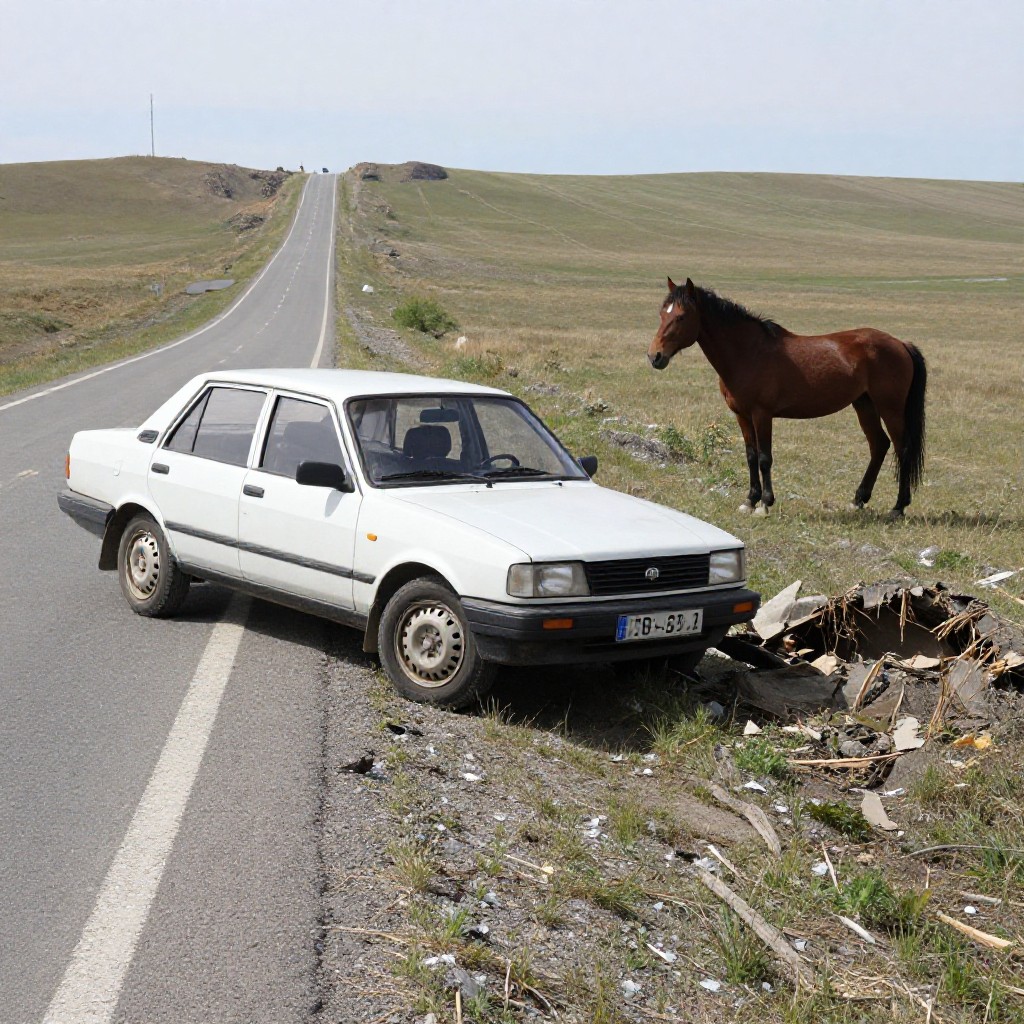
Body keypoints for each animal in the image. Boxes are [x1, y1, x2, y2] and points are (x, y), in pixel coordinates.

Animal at [647, 278, 927, 520]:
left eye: (681, 316)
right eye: (661, 314)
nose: (654, 356)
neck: (748, 353)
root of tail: (901, 344)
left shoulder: (762, 414)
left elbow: (764, 458)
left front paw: (765, 503)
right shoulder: (742, 415)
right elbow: (751, 456)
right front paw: (749, 500)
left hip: (890, 408)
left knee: (902, 448)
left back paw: (898, 507)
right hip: (864, 404)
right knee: (879, 445)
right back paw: (858, 500)